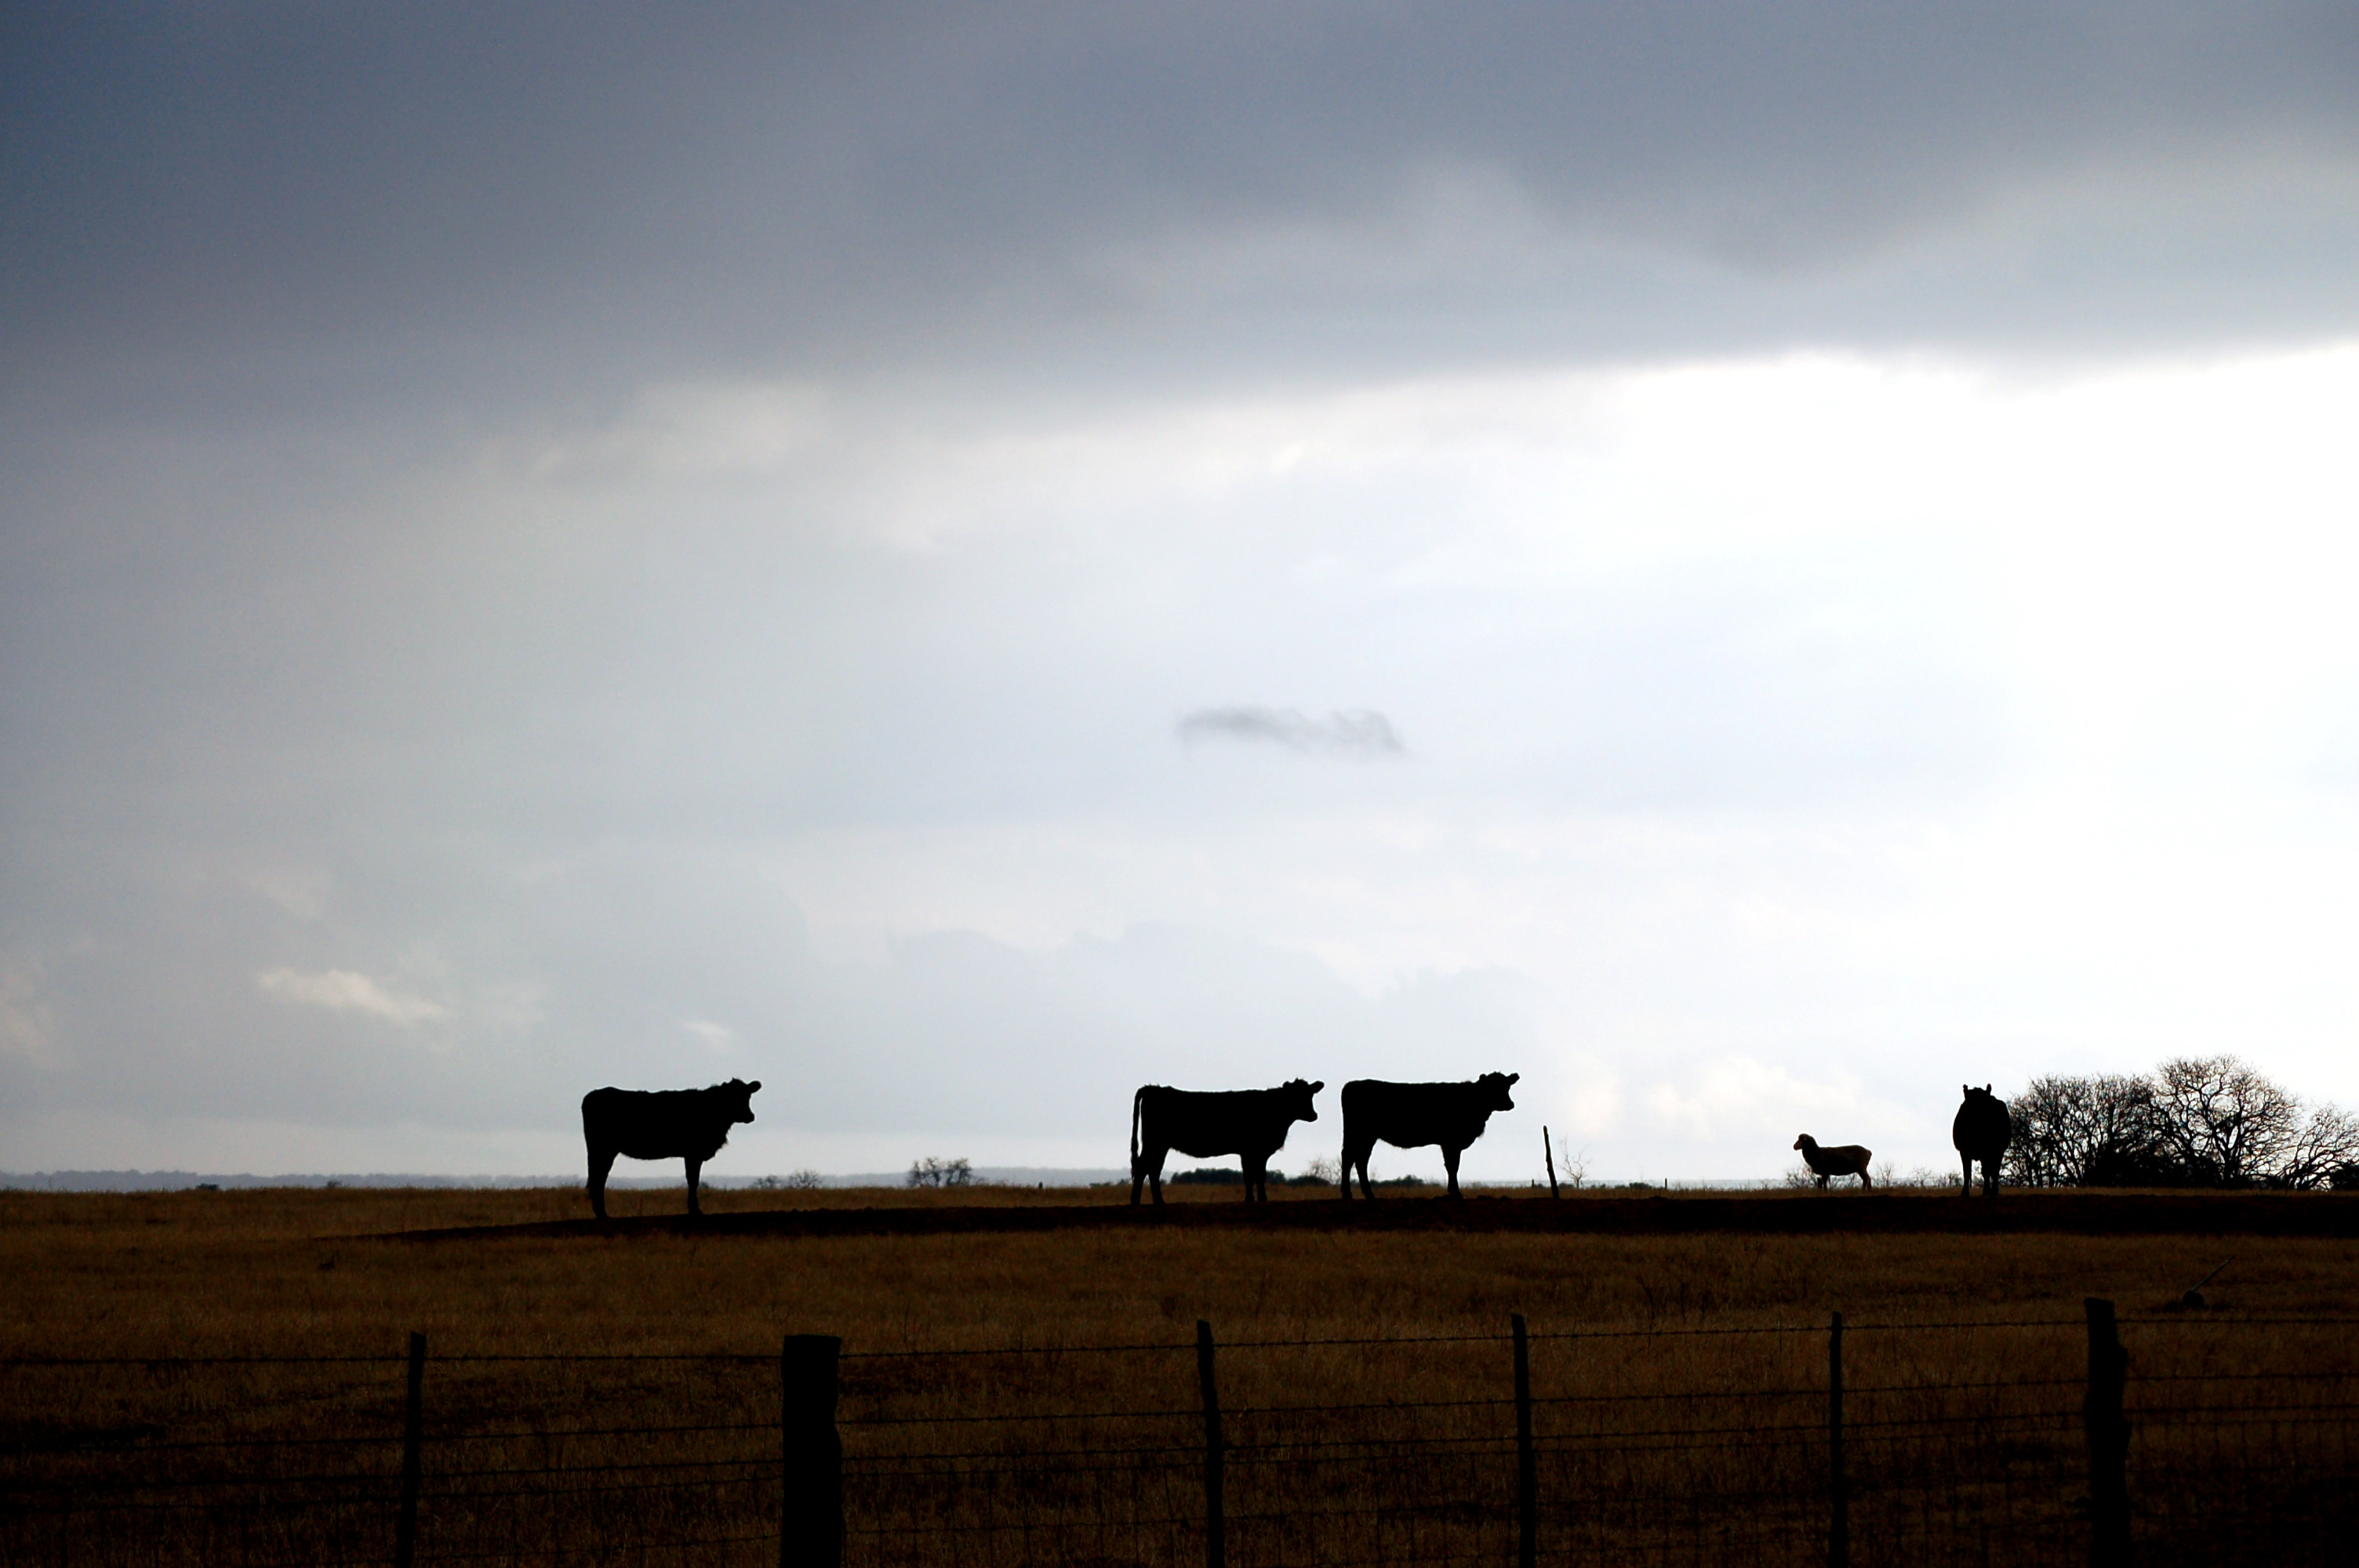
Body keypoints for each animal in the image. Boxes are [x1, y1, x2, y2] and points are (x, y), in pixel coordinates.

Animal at [582, 1075, 759, 1225]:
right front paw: (694, 1209)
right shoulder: (693, 1153)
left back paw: (601, 1212)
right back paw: (602, 1213)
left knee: (599, 1177)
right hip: (603, 1148)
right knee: (599, 1177)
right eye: (732, 1097)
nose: (750, 1116)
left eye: (748, 1096)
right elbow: (693, 1180)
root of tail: (592, 1095)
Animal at [1127, 1084, 1321, 1202]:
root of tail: (1154, 1089)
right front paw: (1252, 1199)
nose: (1314, 1115)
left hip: (1159, 1145)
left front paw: (1259, 1199)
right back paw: (1136, 1201)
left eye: (1310, 1094)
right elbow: (1251, 1176)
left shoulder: (1258, 1152)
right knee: (1144, 1168)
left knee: (1153, 1169)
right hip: (1155, 1142)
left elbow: (1259, 1175)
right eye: (1297, 1095)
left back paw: (1158, 1202)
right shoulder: (1251, 1151)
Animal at [1339, 1070, 1519, 1202]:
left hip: (1365, 1136)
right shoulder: (1451, 1142)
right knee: (1350, 1158)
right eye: (1493, 1088)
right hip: (1360, 1134)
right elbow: (1453, 1166)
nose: (1510, 1104)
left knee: (1360, 1160)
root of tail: (1352, 1084)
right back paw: (1349, 1194)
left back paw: (1368, 1195)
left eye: (1507, 1087)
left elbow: (1452, 1166)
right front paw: (1456, 1193)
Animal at [1953, 1084, 2009, 1192]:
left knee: (1995, 1170)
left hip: (1999, 1151)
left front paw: (1987, 1190)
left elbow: (1987, 1171)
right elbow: (1967, 1171)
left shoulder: (1987, 1151)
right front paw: (1965, 1191)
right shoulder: (1964, 1151)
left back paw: (1994, 1190)